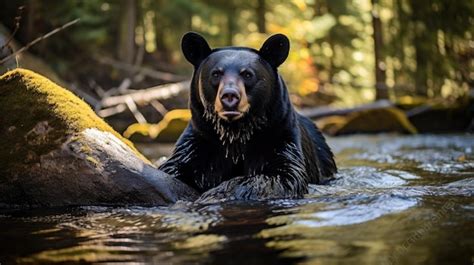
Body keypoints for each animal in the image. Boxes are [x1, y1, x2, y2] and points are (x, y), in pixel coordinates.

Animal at [160, 31, 336, 200]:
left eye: (248, 74)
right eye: (216, 74)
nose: (229, 96)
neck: (236, 134)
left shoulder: (281, 137)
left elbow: (285, 174)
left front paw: (222, 191)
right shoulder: (200, 141)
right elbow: (176, 166)